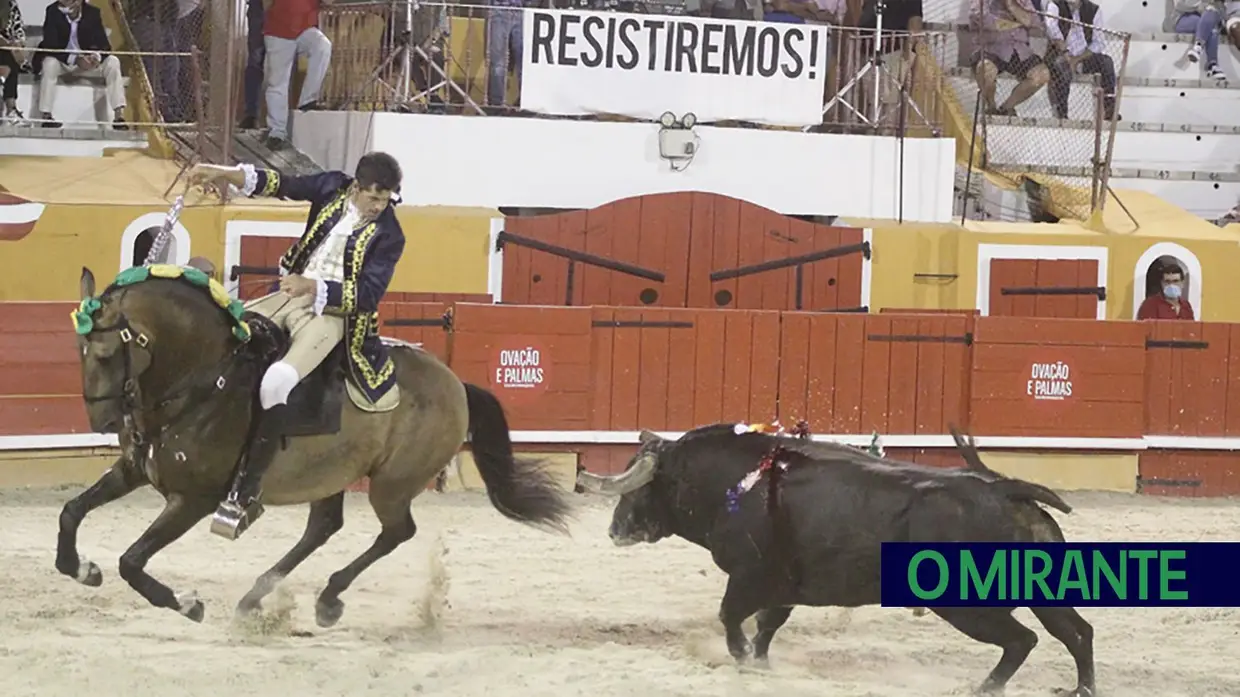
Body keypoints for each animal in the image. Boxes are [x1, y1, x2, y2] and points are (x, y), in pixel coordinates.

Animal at [60, 265, 572, 625]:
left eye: (105, 353)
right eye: (78, 352)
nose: (104, 420)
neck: (203, 379)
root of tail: (457, 384)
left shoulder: (195, 498)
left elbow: (131, 561)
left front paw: (188, 603)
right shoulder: (133, 469)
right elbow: (72, 512)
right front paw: (82, 569)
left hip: (391, 484)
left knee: (396, 531)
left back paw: (327, 598)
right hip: (331, 473)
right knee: (324, 527)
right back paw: (256, 599)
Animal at [577, 424, 1096, 694]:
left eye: (638, 487)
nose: (615, 529)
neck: (730, 482)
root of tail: (1004, 490)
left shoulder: (750, 576)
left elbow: (731, 618)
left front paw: (742, 659)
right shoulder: (782, 587)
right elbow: (767, 626)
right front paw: (760, 664)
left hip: (967, 606)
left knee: (1023, 639)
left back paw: (983, 687)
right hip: (1043, 591)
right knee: (1076, 631)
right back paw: (1082, 688)